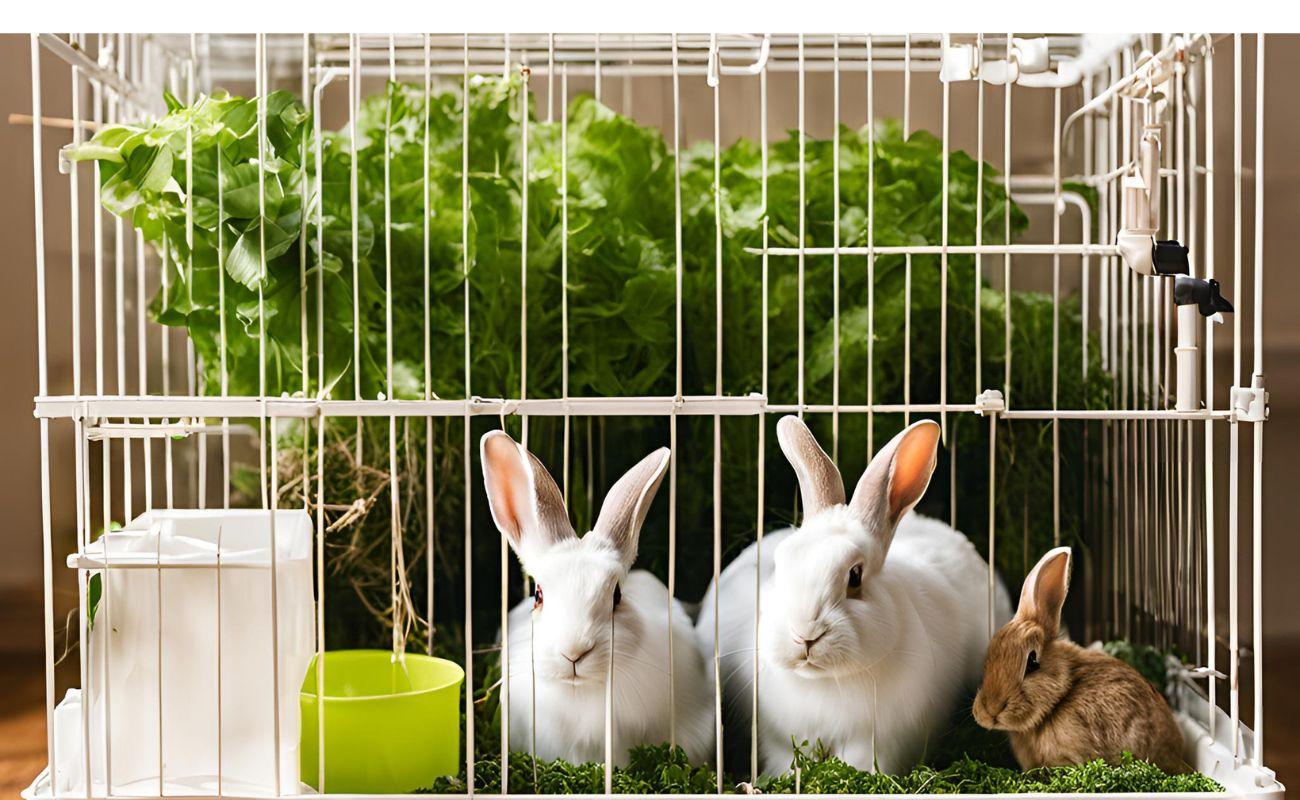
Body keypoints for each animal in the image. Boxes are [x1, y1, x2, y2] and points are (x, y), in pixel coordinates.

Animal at [696, 416, 1011, 776]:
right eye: (780, 563)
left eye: (855, 576)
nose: (804, 634)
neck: (826, 682)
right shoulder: (778, 740)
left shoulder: (878, 742)